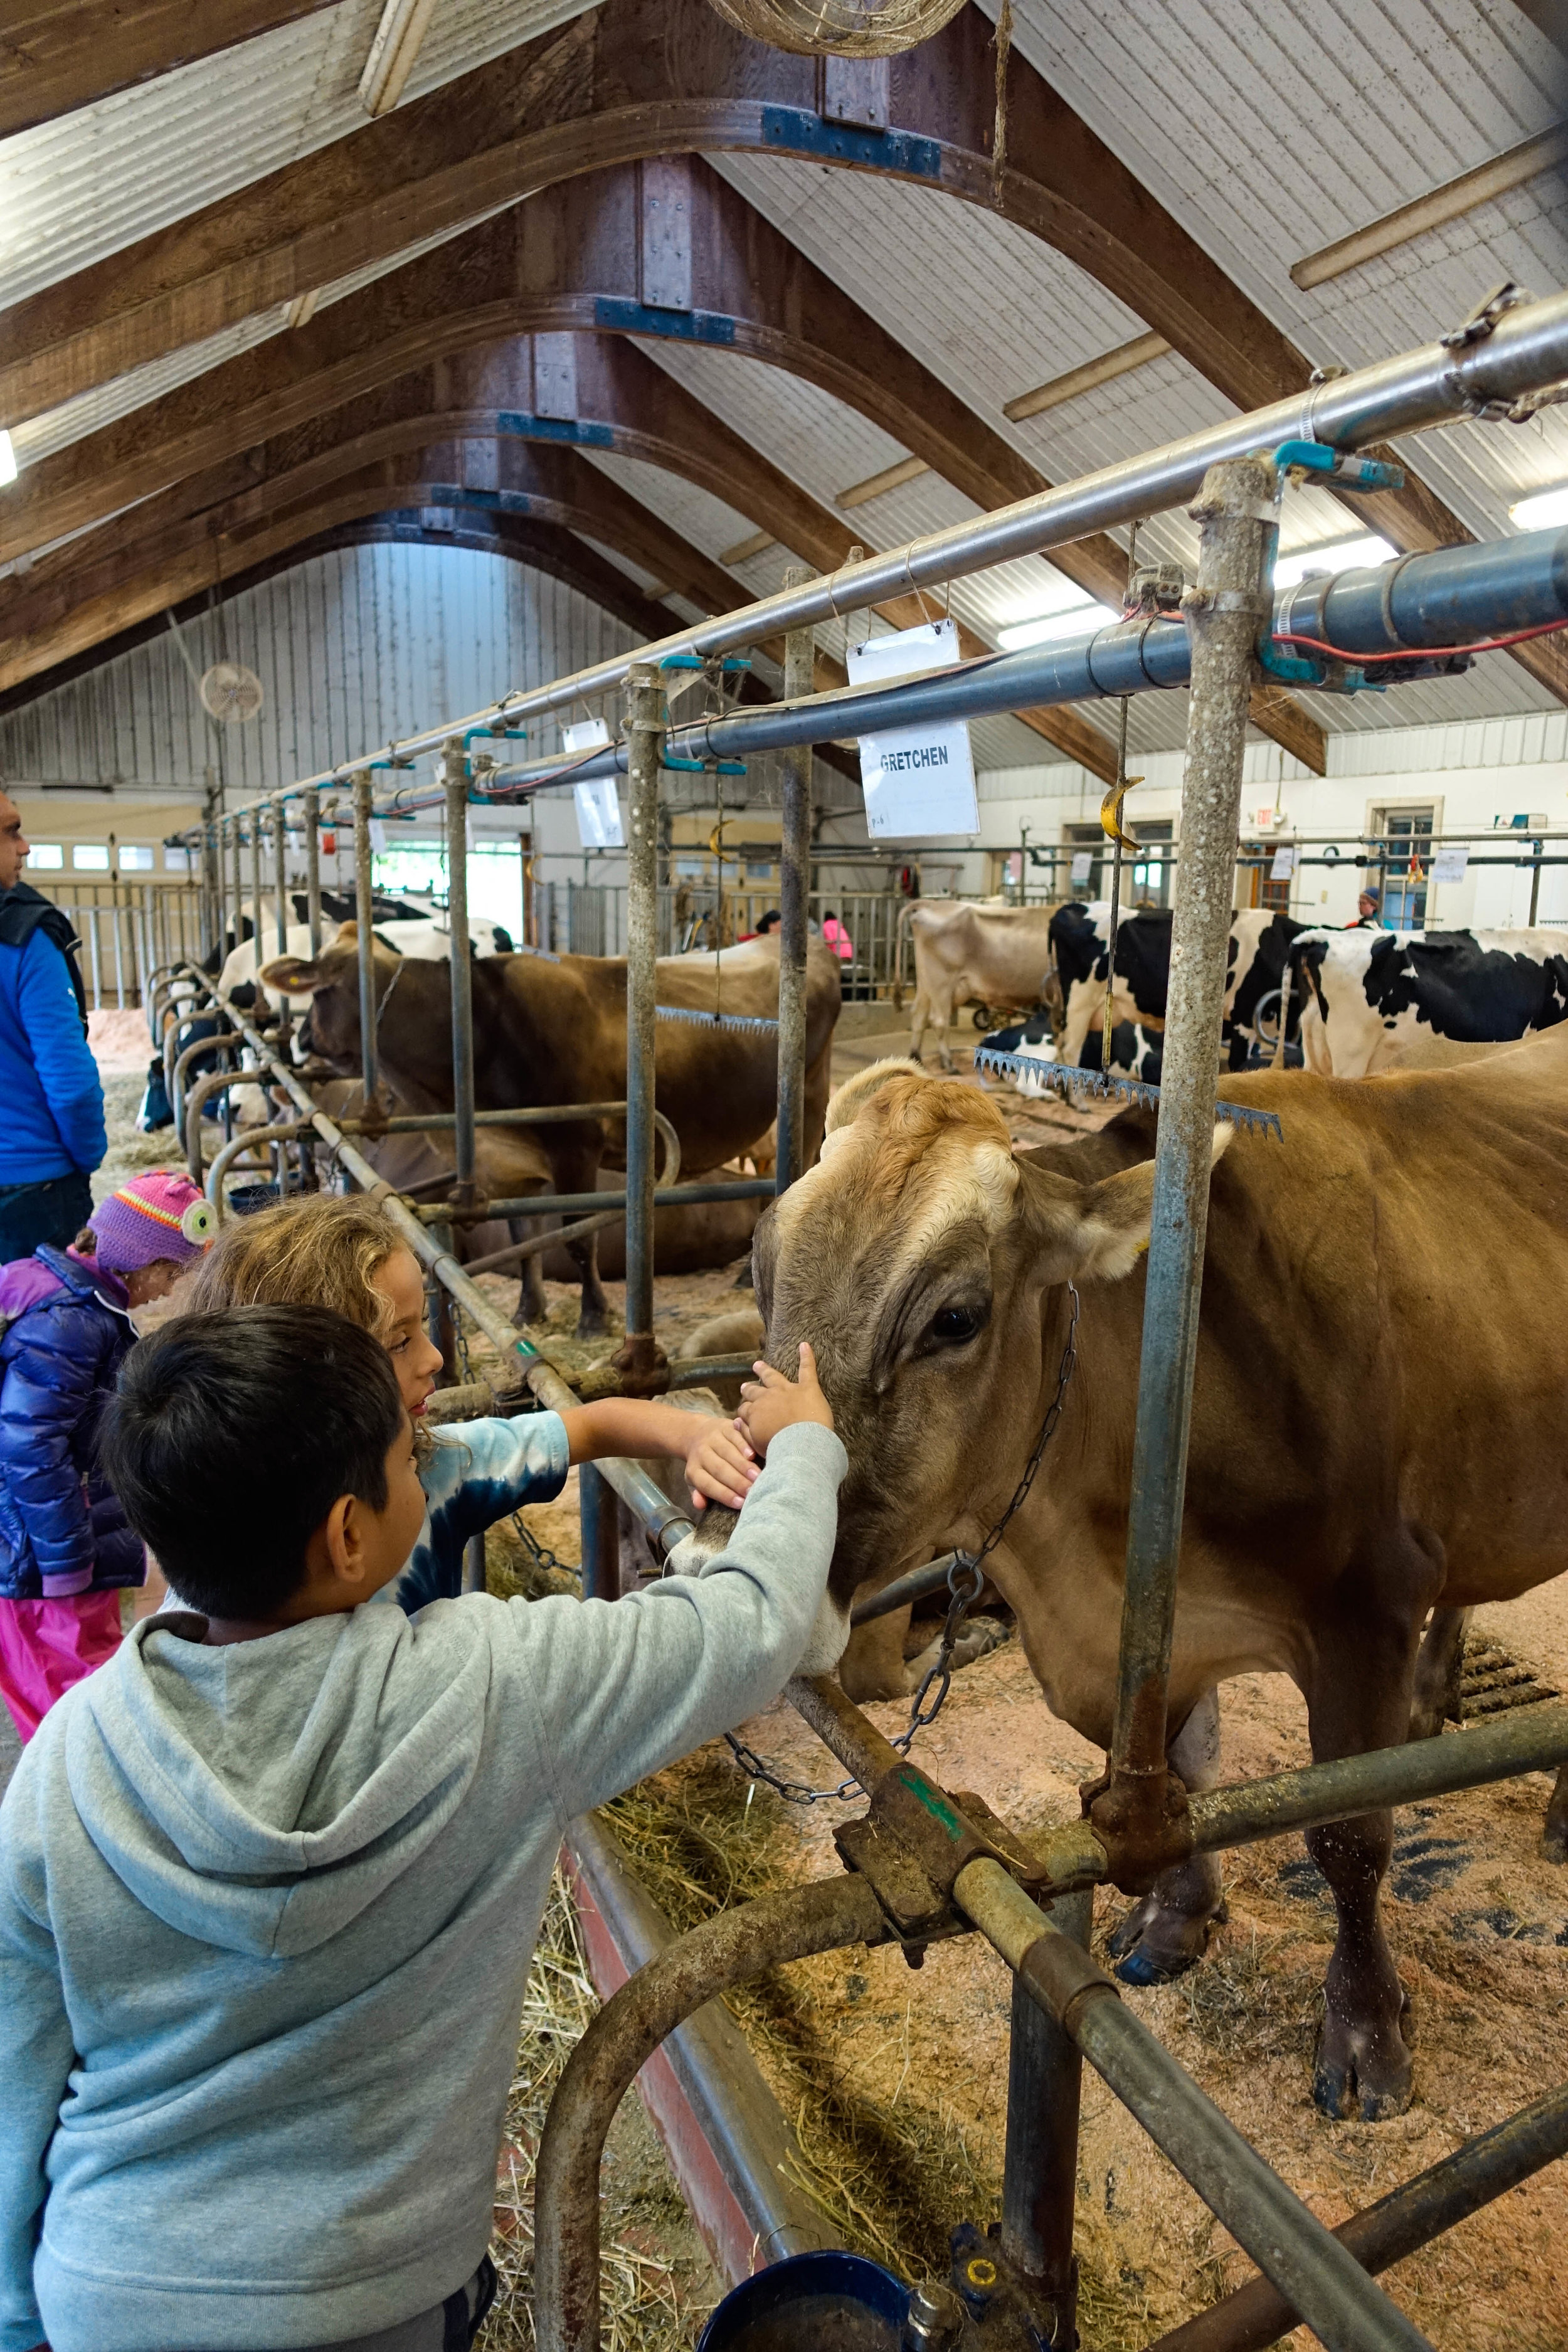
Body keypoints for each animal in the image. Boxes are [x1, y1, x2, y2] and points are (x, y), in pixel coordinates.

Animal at [261, 929, 840, 1335]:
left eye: (318, 995)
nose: (301, 1041)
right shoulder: (514, 1161)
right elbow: (524, 1238)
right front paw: (529, 1310)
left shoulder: (575, 1145)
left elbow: (578, 1237)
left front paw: (594, 1317)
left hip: (810, 1097)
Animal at [716, 1040, 1568, 2121]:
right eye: (760, 1259)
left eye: (955, 1317)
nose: (721, 1543)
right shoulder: (1142, 1639)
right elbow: (1180, 1775)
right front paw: (1178, 1919)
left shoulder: (1368, 1605)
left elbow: (1350, 1836)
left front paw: (1366, 2034)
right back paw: (1434, 1706)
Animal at [897, 900, 1063, 1071]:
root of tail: (931, 904)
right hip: (941, 981)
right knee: (939, 1020)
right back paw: (949, 1064)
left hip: (926, 982)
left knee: (919, 1015)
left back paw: (916, 1058)